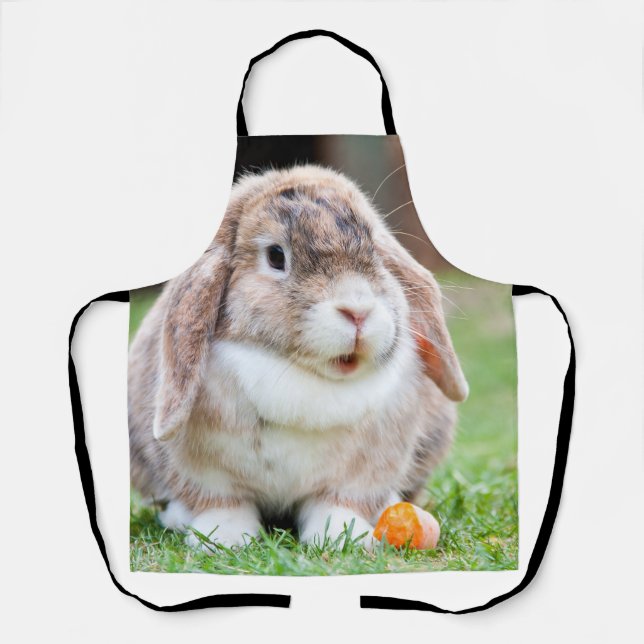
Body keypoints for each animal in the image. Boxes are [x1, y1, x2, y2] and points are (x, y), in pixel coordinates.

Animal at [128, 164, 468, 551]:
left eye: (376, 251)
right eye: (276, 256)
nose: (358, 311)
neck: (305, 376)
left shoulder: (361, 474)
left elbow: (336, 504)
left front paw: (344, 538)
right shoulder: (206, 474)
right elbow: (224, 504)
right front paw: (225, 539)